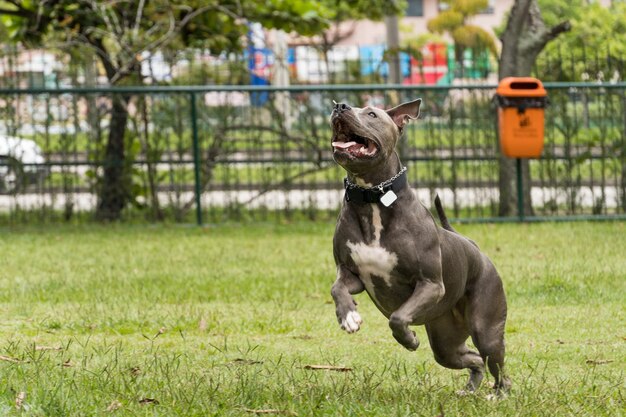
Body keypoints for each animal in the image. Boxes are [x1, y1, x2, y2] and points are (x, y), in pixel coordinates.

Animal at [330, 97, 510, 394]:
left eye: (371, 114)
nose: (339, 106)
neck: (372, 200)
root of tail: (475, 249)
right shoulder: (352, 274)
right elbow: (337, 288)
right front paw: (349, 316)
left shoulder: (430, 284)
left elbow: (397, 317)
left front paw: (409, 339)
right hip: (445, 342)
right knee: (473, 359)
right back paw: (470, 389)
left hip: (485, 328)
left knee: (498, 366)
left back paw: (498, 395)